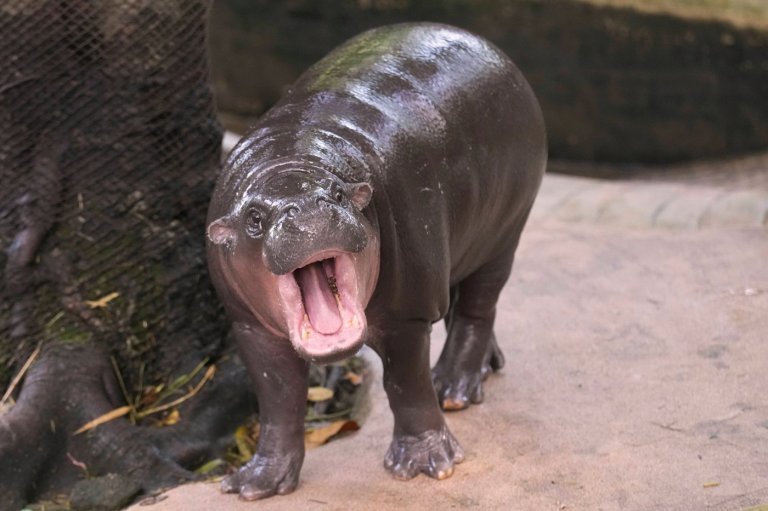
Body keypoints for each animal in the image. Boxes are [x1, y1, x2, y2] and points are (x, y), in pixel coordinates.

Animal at [206, 22, 546, 501]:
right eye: (254, 218)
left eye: (338, 193)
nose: (306, 209)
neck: (290, 159)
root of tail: (484, 44)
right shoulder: (250, 327)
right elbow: (278, 398)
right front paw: (255, 483)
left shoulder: (408, 314)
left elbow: (405, 383)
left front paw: (425, 464)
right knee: (462, 302)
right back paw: (483, 370)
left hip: (504, 232)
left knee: (479, 308)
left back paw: (453, 388)